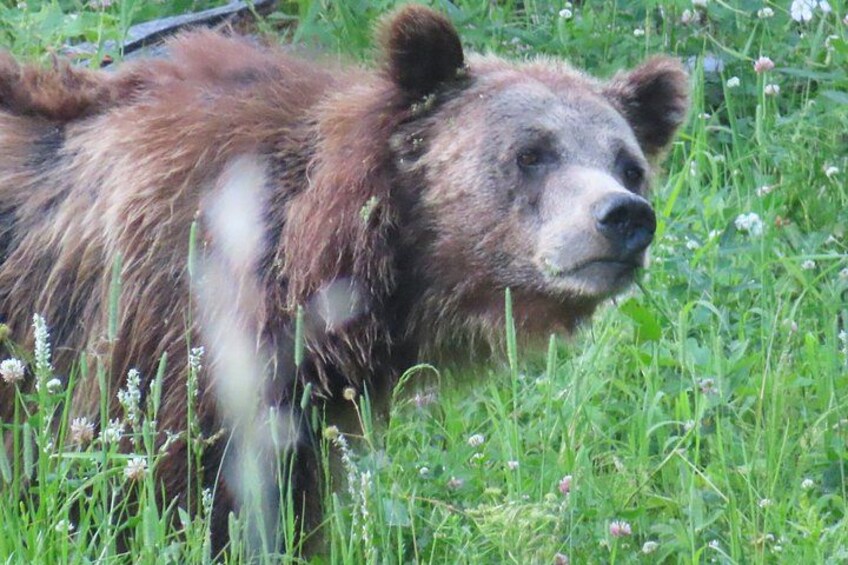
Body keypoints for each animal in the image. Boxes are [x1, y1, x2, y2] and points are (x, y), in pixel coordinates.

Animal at [0, 4, 688, 555]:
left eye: (627, 163)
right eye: (531, 153)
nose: (624, 217)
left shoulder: (291, 404)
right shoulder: (160, 338)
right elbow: (164, 498)